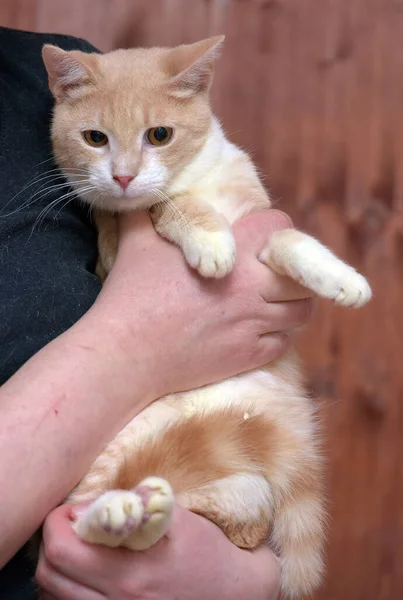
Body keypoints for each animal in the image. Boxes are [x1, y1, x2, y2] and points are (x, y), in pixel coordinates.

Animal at [41, 38, 372, 600]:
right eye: (95, 138)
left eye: (159, 135)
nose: (124, 176)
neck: (201, 182)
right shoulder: (115, 244)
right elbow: (171, 208)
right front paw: (211, 241)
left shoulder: (259, 217)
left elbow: (289, 238)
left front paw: (339, 275)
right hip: (109, 460)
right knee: (86, 514)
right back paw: (120, 514)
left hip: (247, 489)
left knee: (217, 517)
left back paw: (146, 512)